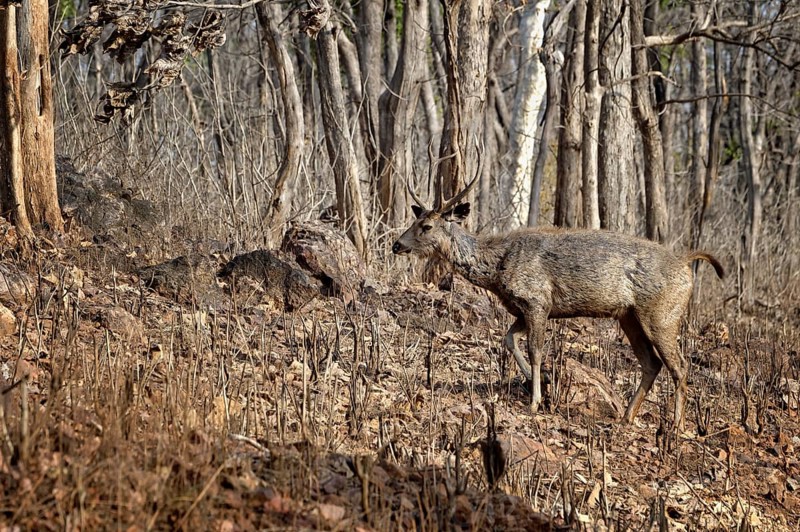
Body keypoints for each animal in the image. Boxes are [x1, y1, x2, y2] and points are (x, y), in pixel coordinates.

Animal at [392, 163, 724, 431]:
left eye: (426, 226)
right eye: (415, 221)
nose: (397, 244)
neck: (498, 268)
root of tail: (686, 264)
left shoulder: (538, 300)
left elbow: (536, 350)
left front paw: (535, 401)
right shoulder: (523, 309)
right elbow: (509, 340)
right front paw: (541, 383)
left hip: (662, 315)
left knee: (679, 366)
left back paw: (676, 427)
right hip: (629, 316)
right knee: (651, 363)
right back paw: (626, 417)